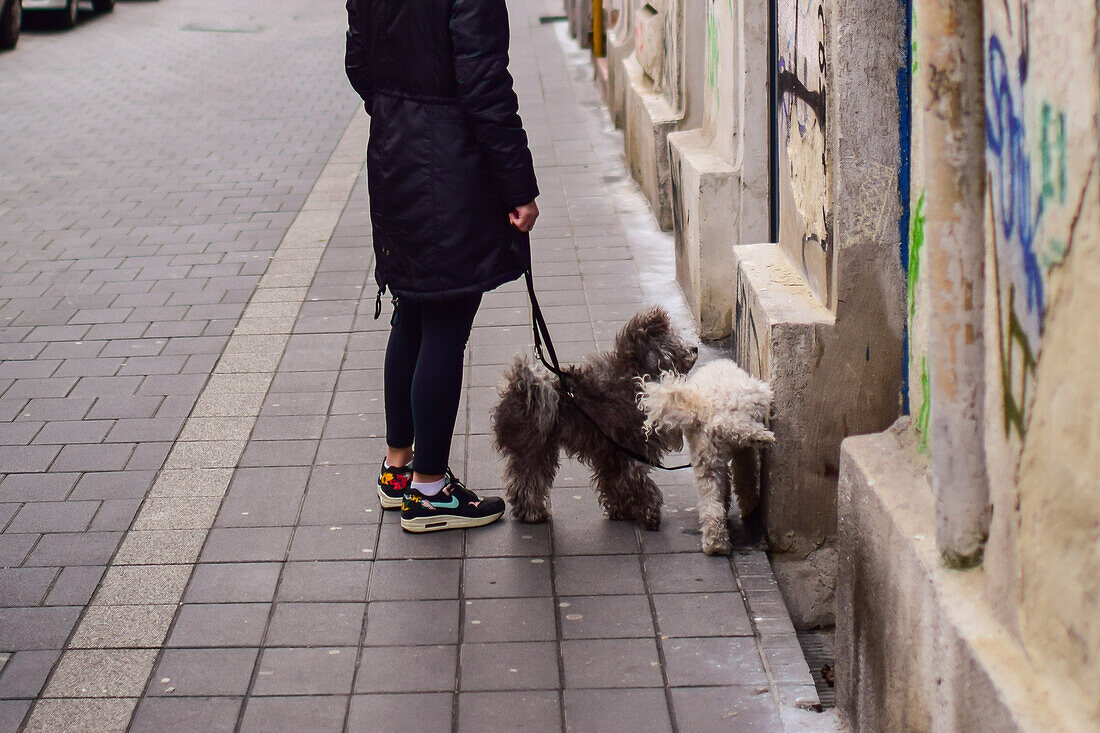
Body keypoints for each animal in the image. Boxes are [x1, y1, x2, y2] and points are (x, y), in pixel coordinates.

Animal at [642, 356, 778, 550]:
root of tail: (700, 409)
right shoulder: (744, 452)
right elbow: (747, 477)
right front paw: (749, 505)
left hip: (706, 461)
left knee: (710, 504)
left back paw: (716, 544)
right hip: (747, 400)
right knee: (735, 424)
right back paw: (762, 436)